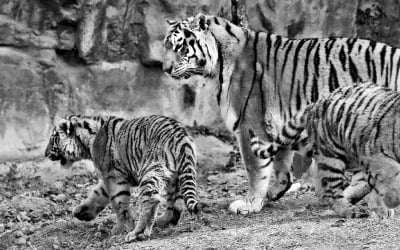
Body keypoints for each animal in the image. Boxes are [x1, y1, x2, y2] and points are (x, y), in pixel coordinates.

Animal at [45, 114, 205, 242]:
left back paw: (137, 233)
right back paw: (161, 222)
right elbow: (98, 193)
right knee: (175, 206)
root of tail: (181, 136)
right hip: (174, 177)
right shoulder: (109, 177)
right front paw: (81, 212)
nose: (45, 154)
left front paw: (121, 228)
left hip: (150, 171)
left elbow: (118, 203)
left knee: (152, 201)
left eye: (53, 138)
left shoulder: (114, 176)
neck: (87, 142)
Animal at [248, 83, 400, 218]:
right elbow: (391, 176)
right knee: (331, 193)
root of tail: (318, 101)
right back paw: (351, 211)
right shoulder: (376, 156)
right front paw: (388, 203)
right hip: (332, 156)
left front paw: (381, 207)